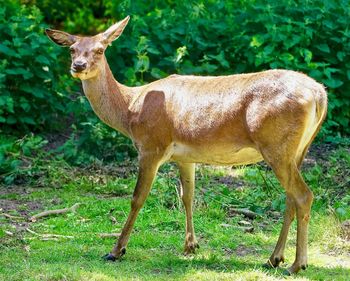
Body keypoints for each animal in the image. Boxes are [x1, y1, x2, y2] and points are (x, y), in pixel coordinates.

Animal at [44, 15, 328, 274]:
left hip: (276, 146)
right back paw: (274, 259)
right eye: (72, 49)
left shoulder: (151, 145)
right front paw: (191, 246)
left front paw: (116, 250)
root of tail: (319, 94)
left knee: (303, 195)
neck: (130, 109)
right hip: (298, 149)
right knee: (291, 198)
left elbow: (137, 198)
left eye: (100, 50)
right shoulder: (185, 156)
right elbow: (187, 196)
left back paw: (296, 264)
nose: (78, 65)